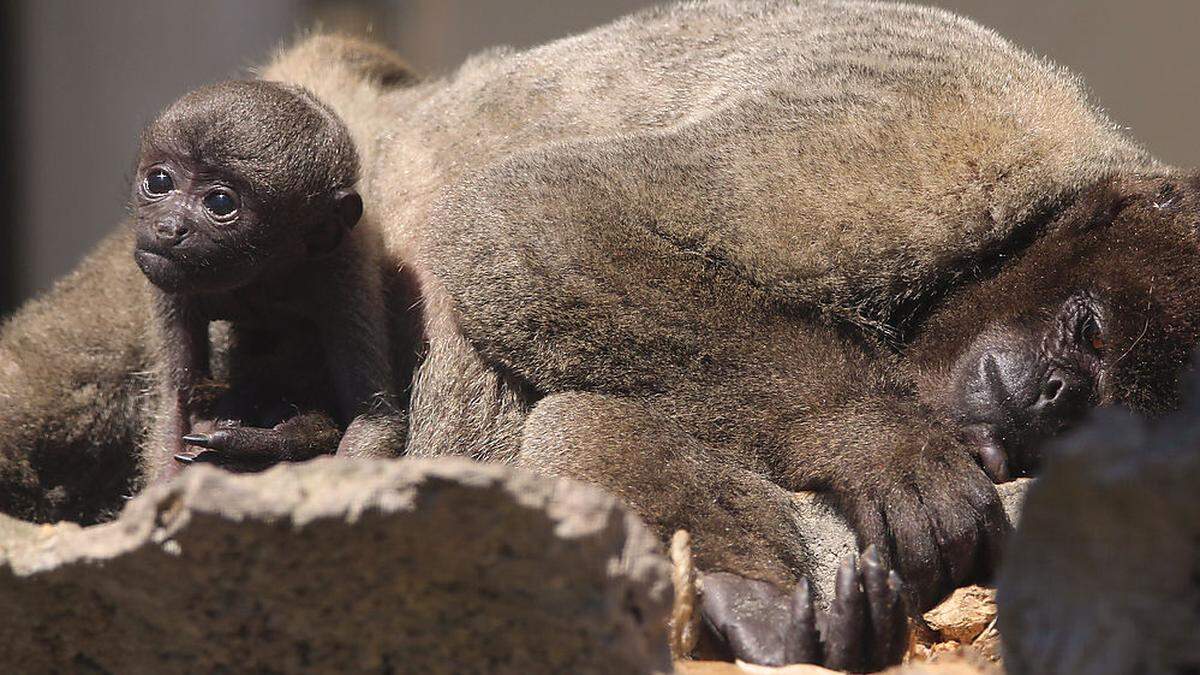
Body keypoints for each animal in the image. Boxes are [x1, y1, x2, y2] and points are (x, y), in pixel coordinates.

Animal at [133, 78, 400, 480]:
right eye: (159, 181)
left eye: (221, 204)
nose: (168, 227)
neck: (261, 275)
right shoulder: (166, 283)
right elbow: (177, 400)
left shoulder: (345, 271)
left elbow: (374, 418)